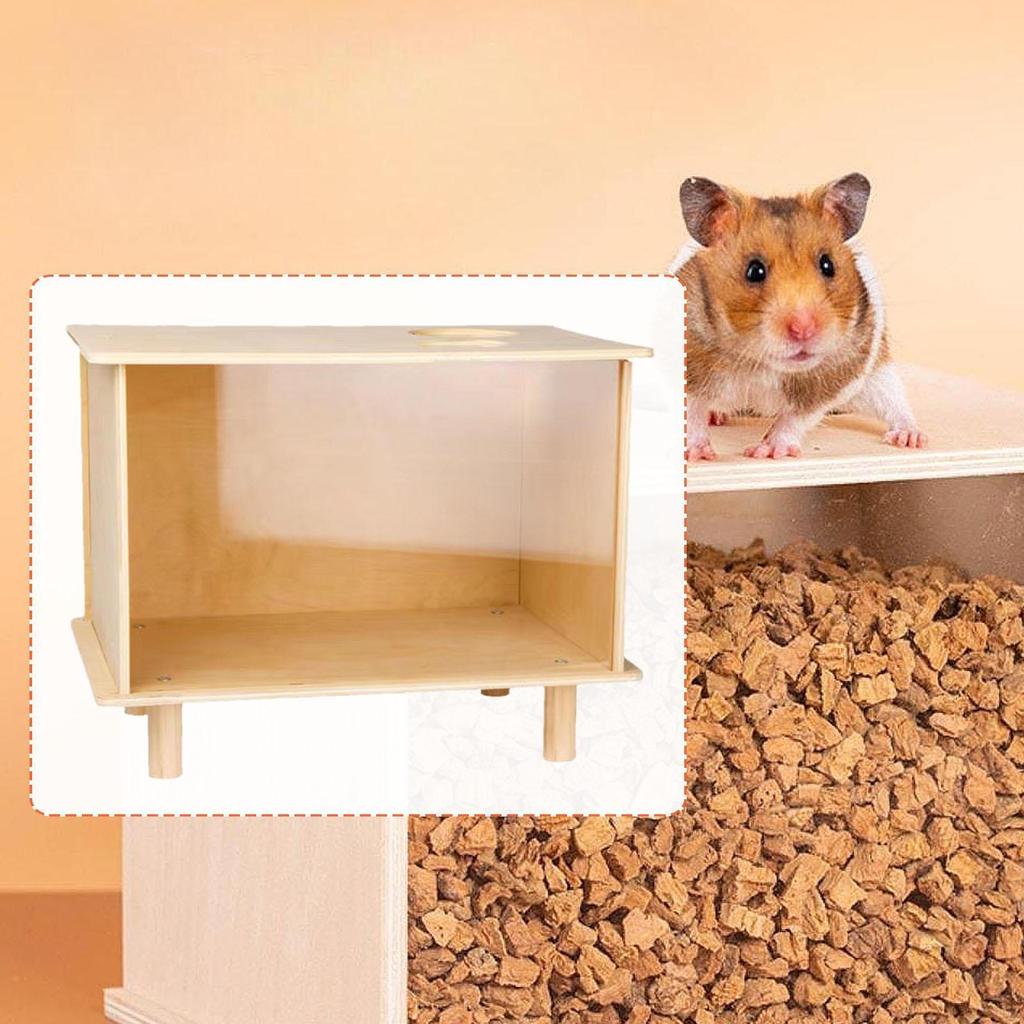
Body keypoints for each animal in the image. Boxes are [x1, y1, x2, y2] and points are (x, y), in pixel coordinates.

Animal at [673, 173, 926, 461]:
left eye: (828, 265)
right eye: (754, 270)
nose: (804, 329)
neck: (762, 365)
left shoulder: (831, 382)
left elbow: (793, 419)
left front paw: (767, 452)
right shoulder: (691, 366)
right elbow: (693, 412)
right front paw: (696, 454)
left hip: (877, 377)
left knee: (894, 403)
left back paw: (911, 438)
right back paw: (716, 416)